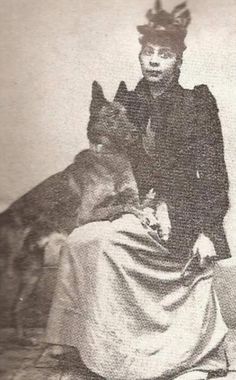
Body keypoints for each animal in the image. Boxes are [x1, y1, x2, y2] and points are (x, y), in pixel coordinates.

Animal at [0, 81, 167, 344]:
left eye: (128, 114)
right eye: (111, 116)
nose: (136, 133)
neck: (110, 160)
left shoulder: (132, 195)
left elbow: (140, 203)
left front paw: (155, 218)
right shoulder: (87, 214)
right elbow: (124, 206)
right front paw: (146, 218)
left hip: (32, 270)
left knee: (17, 307)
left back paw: (23, 339)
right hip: (9, 268)